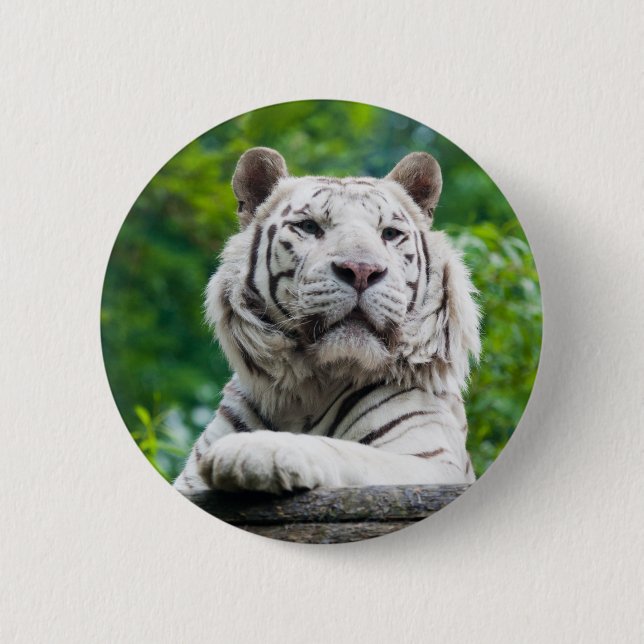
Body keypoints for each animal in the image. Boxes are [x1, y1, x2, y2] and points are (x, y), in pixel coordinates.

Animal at [173, 147, 481, 495]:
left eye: (389, 234)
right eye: (309, 226)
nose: (361, 270)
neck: (306, 393)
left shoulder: (431, 460)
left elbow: (345, 451)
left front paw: (250, 452)